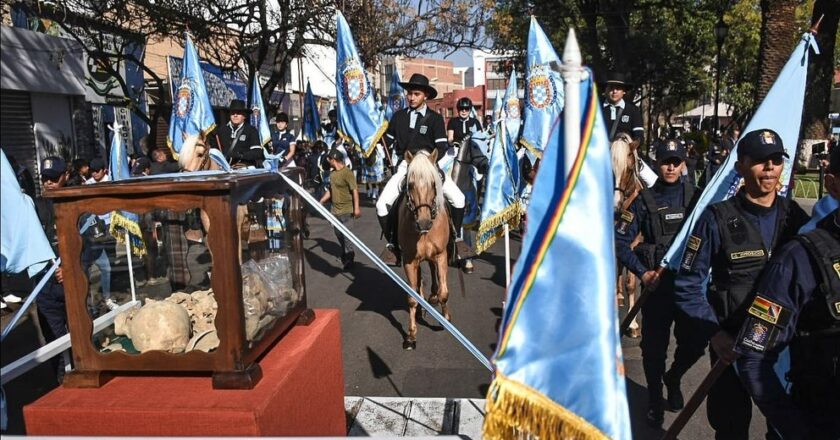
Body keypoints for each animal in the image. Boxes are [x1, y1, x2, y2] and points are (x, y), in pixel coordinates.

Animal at [398, 150, 450, 348]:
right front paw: (411, 335)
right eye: (410, 184)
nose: (424, 223)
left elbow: (444, 293)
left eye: (433, 183)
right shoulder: (409, 260)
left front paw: (445, 319)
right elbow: (412, 298)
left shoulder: (441, 255)